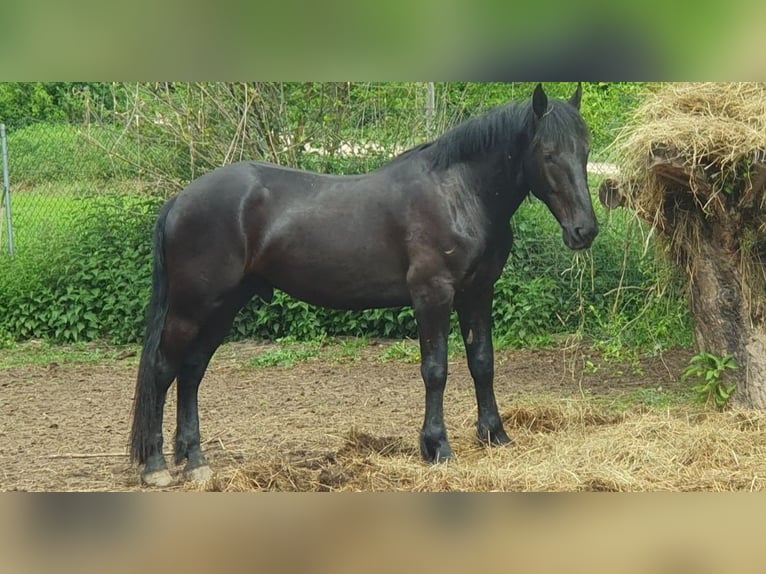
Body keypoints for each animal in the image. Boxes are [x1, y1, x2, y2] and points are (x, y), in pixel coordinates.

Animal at [130, 82, 600, 486]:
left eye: (585, 151)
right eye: (548, 153)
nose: (585, 230)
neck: (457, 193)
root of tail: (181, 199)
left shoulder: (477, 294)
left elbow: (482, 362)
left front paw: (495, 435)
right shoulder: (433, 296)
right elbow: (436, 370)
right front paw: (437, 447)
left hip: (223, 307)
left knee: (191, 372)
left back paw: (195, 461)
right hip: (192, 307)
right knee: (163, 369)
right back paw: (156, 466)